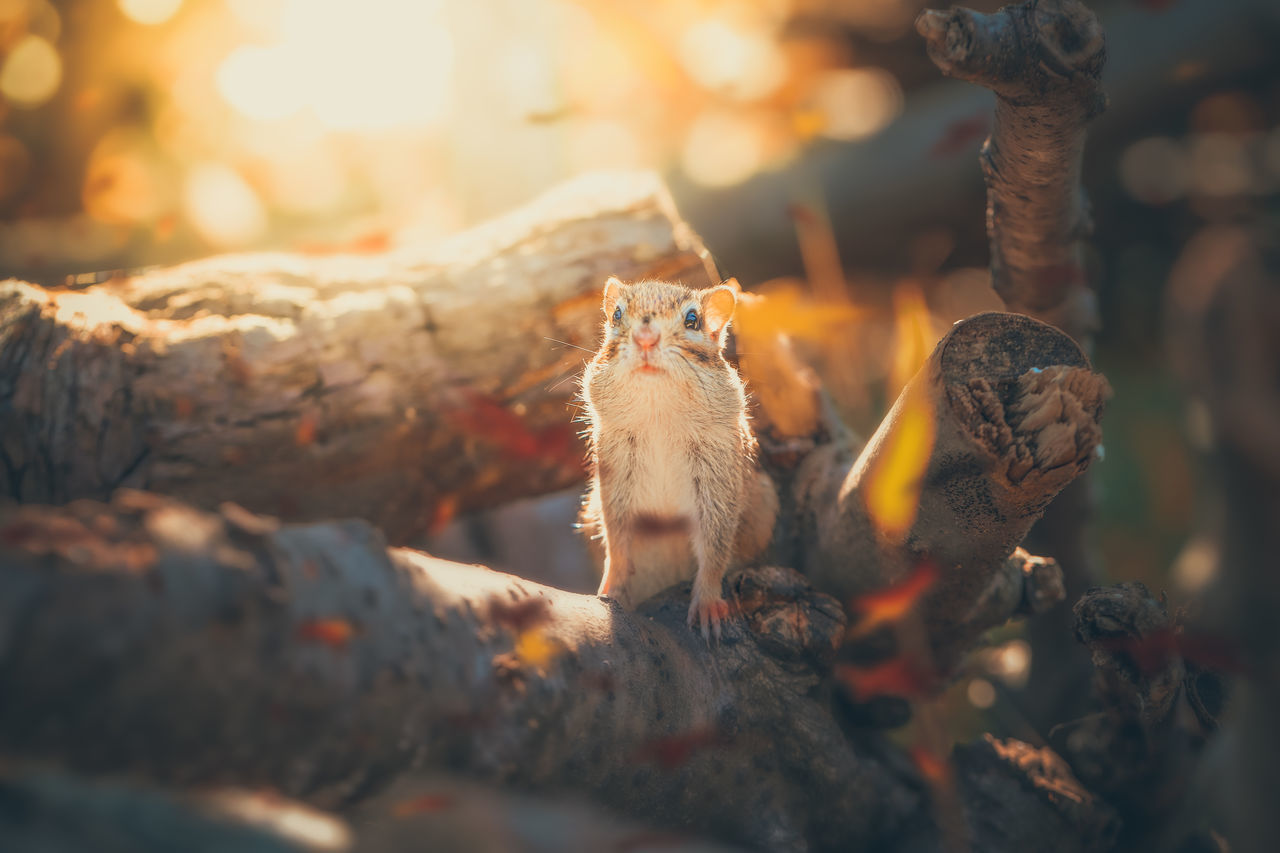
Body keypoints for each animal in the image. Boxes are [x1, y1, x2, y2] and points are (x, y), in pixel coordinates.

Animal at [581, 275, 778, 635]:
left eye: (693, 320)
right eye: (616, 315)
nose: (645, 338)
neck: (658, 415)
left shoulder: (718, 476)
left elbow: (715, 543)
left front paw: (708, 604)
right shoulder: (615, 474)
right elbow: (616, 536)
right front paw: (610, 587)